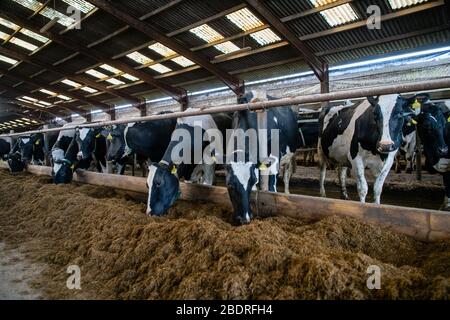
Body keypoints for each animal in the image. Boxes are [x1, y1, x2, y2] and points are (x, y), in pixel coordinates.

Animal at [225, 90, 302, 225]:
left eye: (251, 181)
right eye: (230, 185)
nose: (245, 219)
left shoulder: (274, 159)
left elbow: (271, 188)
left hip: (288, 157)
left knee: (286, 176)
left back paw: (287, 193)